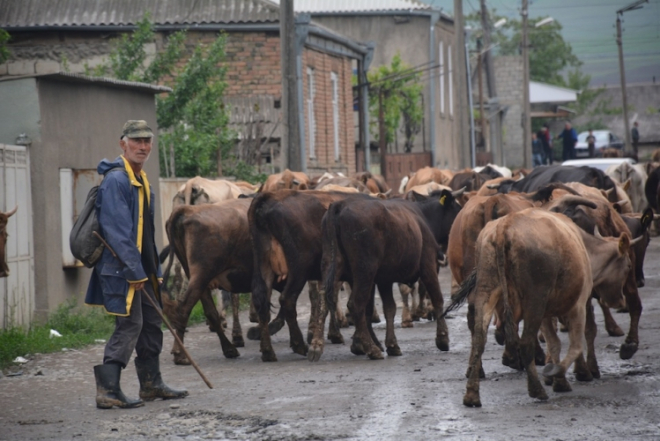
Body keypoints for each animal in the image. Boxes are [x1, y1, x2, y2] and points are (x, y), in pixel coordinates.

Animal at [446, 207, 632, 406]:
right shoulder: (578, 305)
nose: (621, 301)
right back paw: (536, 389)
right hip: (535, 300)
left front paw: (559, 381)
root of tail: (505, 225)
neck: (586, 248)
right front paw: (558, 373)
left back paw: (472, 395)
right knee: (526, 342)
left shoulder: (546, 315)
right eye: (627, 266)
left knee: (479, 339)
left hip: (486, 291)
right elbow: (575, 345)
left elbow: (554, 343)